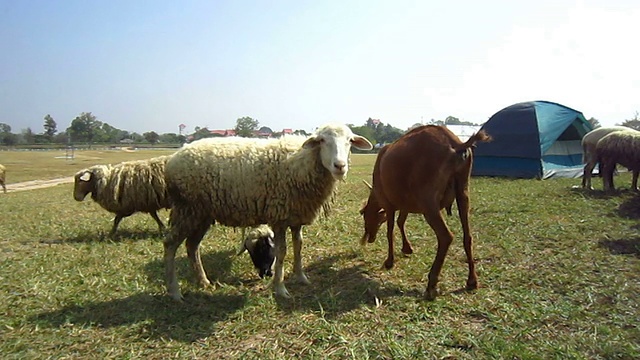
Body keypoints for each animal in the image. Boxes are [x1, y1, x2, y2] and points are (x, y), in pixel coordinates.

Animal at [165, 122, 372, 300]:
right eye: (321, 140)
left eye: (350, 141)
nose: (340, 166)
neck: (301, 162)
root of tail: (174, 157)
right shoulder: (279, 217)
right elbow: (281, 251)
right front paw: (280, 288)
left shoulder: (296, 217)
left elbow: (299, 245)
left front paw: (301, 277)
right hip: (186, 209)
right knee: (170, 244)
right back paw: (174, 291)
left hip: (201, 213)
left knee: (192, 246)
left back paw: (203, 281)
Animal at [360, 125, 490, 300]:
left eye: (366, 217)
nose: (369, 238)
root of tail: (457, 145)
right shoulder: (405, 204)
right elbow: (401, 222)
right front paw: (407, 248)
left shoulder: (388, 203)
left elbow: (390, 230)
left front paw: (389, 261)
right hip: (463, 190)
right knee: (467, 236)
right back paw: (472, 281)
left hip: (428, 200)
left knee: (446, 236)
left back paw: (431, 286)